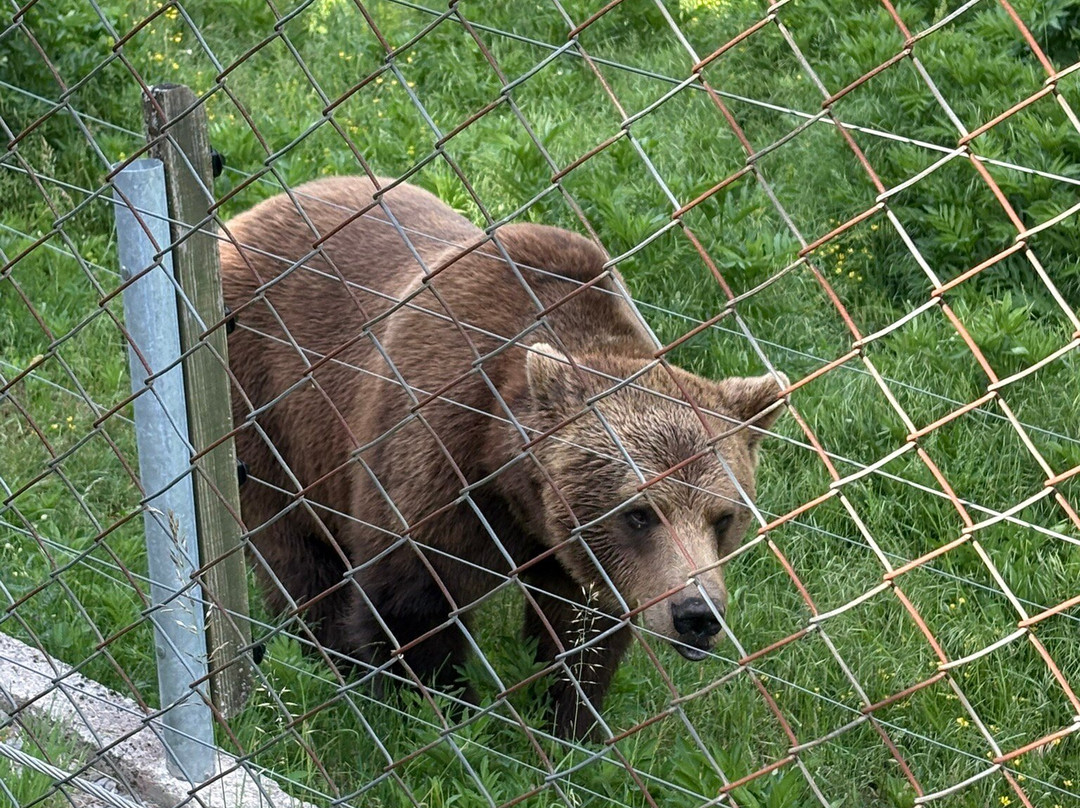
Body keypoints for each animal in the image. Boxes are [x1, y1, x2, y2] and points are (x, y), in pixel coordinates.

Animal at [218, 175, 786, 741]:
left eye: (724, 517)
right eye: (640, 514)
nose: (697, 613)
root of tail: (250, 214)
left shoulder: (571, 553)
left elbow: (580, 628)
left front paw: (571, 720)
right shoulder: (436, 453)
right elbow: (411, 601)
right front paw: (446, 709)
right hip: (263, 402)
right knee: (295, 546)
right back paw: (329, 652)